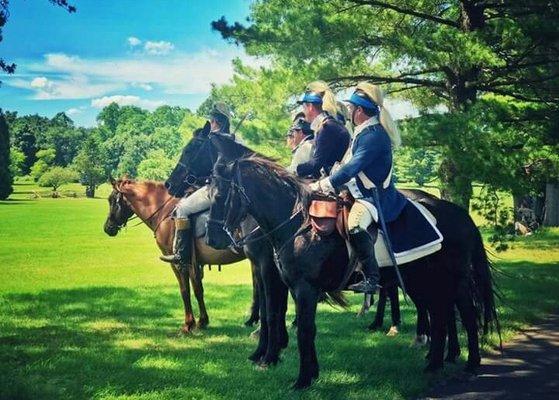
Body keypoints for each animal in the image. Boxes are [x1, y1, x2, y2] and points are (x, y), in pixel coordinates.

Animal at [104, 179, 255, 334]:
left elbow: (185, 291)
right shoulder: (193, 263)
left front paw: (188, 324)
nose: (107, 228)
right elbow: (198, 289)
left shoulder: (178, 263)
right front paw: (202, 321)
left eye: (111, 200)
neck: (163, 211)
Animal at [205, 136, 498, 390]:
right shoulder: (283, 282)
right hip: (423, 282)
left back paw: (470, 362)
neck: (297, 222)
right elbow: (287, 320)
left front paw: (300, 378)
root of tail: (459, 214)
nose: (211, 237)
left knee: (465, 314)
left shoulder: (302, 287)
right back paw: (435, 363)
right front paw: (303, 370)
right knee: (439, 315)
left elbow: (302, 329)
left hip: (451, 281)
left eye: (218, 196)